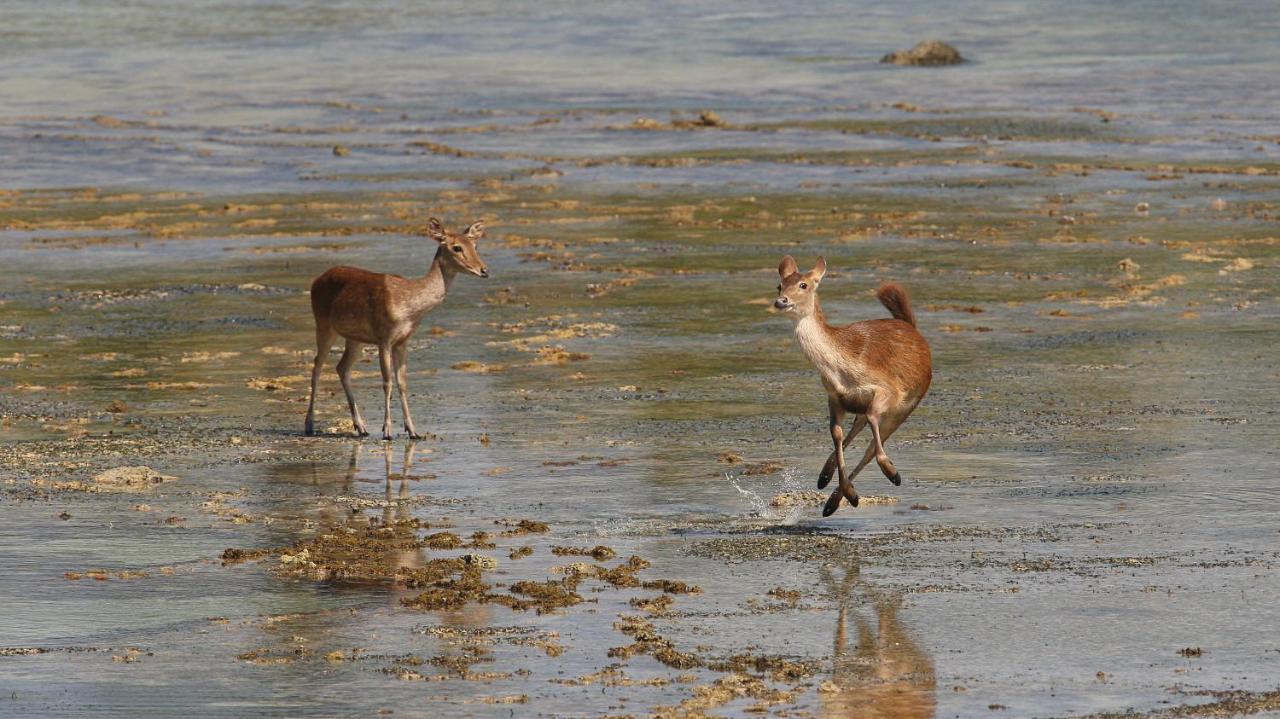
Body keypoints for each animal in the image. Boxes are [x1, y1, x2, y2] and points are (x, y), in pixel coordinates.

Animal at [304, 218, 488, 440]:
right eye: (456, 247)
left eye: (475, 246)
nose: (484, 270)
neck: (409, 308)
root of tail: (316, 280)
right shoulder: (384, 337)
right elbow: (387, 381)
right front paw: (387, 431)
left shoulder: (403, 341)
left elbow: (402, 382)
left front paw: (413, 430)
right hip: (323, 323)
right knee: (317, 366)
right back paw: (309, 425)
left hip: (355, 337)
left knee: (342, 367)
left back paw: (361, 426)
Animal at [768, 257, 931, 514]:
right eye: (779, 285)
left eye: (804, 285)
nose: (781, 301)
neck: (843, 369)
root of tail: (913, 327)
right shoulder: (834, 396)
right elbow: (836, 434)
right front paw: (846, 492)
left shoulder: (889, 390)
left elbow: (871, 433)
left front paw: (892, 472)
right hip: (862, 407)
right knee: (857, 430)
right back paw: (826, 484)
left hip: (909, 403)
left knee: (872, 443)